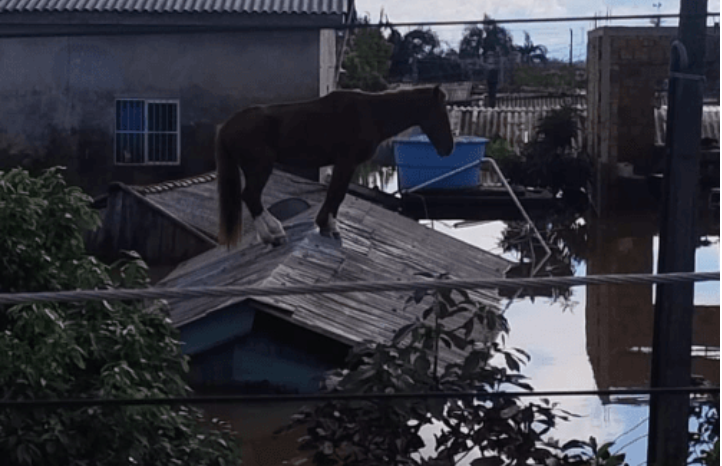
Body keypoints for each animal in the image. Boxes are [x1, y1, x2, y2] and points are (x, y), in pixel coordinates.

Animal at [214, 86, 452, 248]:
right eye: (442, 113)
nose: (448, 148)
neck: (371, 114)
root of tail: (226, 126)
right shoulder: (346, 162)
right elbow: (337, 193)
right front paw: (330, 227)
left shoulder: (344, 164)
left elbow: (335, 193)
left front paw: (326, 225)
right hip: (260, 168)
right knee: (251, 196)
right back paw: (274, 233)